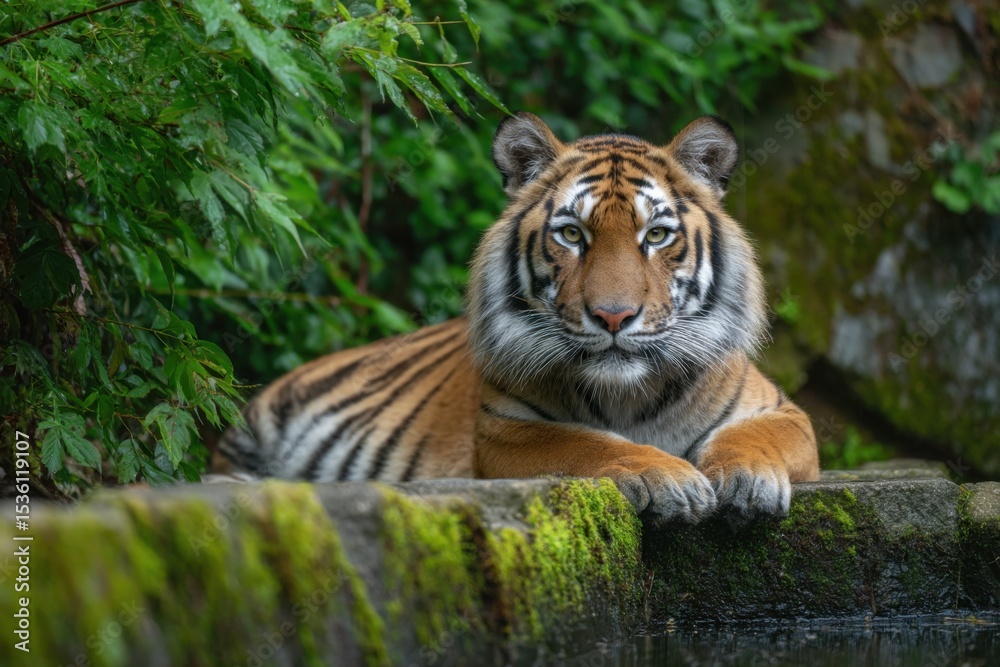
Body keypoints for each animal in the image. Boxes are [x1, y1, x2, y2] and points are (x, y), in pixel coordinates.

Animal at [215, 112, 820, 522]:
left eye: (656, 235)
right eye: (572, 234)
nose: (614, 316)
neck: (629, 395)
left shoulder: (782, 410)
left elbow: (759, 436)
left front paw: (747, 479)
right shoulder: (503, 430)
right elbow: (587, 443)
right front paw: (669, 477)